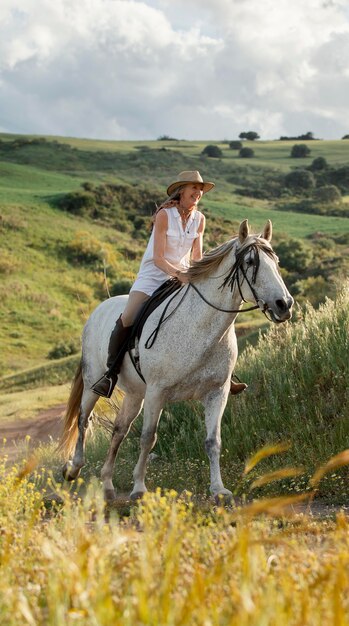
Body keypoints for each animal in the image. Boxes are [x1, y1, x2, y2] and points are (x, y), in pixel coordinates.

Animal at [58, 221, 292, 502]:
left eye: (275, 261)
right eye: (249, 262)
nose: (284, 304)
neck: (200, 329)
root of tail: (98, 310)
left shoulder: (217, 392)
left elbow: (213, 441)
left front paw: (218, 489)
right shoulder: (157, 392)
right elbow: (148, 438)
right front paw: (139, 488)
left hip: (135, 394)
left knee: (118, 430)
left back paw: (107, 485)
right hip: (95, 382)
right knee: (84, 419)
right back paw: (73, 469)